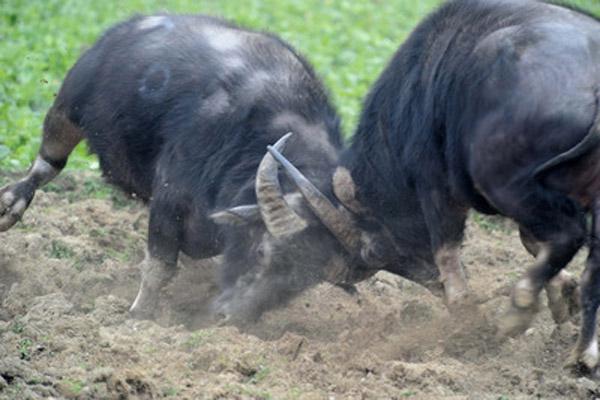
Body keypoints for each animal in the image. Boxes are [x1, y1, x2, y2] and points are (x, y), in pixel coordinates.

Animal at [0, 13, 352, 322]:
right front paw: (139, 316)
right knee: (47, 165)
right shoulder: (171, 197)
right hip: (67, 108)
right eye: (262, 251)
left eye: (298, 285)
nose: (232, 317)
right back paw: (10, 205)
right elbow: (160, 266)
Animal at [268, 0, 600, 370]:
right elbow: (532, 243)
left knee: (568, 235)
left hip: (504, 183)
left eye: (372, 251)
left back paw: (517, 311)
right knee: (591, 266)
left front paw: (468, 325)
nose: (431, 284)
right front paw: (563, 298)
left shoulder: (436, 187)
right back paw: (582, 355)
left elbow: (448, 253)